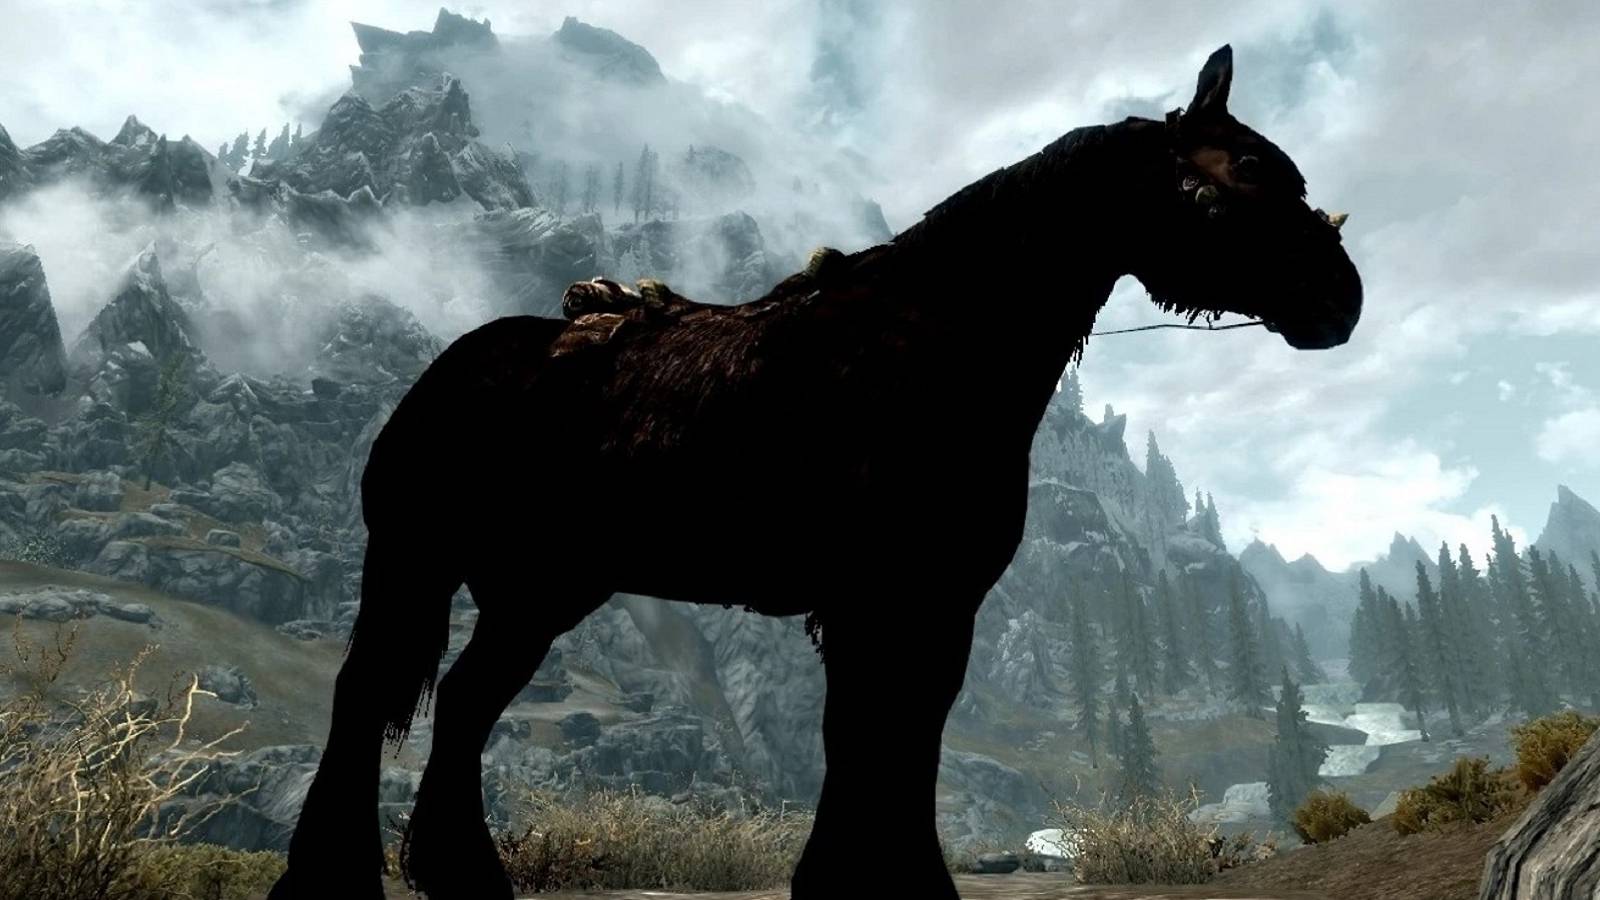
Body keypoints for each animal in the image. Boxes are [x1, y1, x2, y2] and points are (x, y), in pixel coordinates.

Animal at [269, 45, 1362, 900]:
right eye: (1228, 177)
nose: (1339, 300)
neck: (926, 350)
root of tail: (451, 365)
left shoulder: (930, 606)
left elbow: (897, 741)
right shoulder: (882, 601)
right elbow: (874, 741)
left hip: (538, 591)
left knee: (461, 703)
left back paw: (463, 877)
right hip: (418, 560)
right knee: (367, 695)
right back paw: (326, 879)